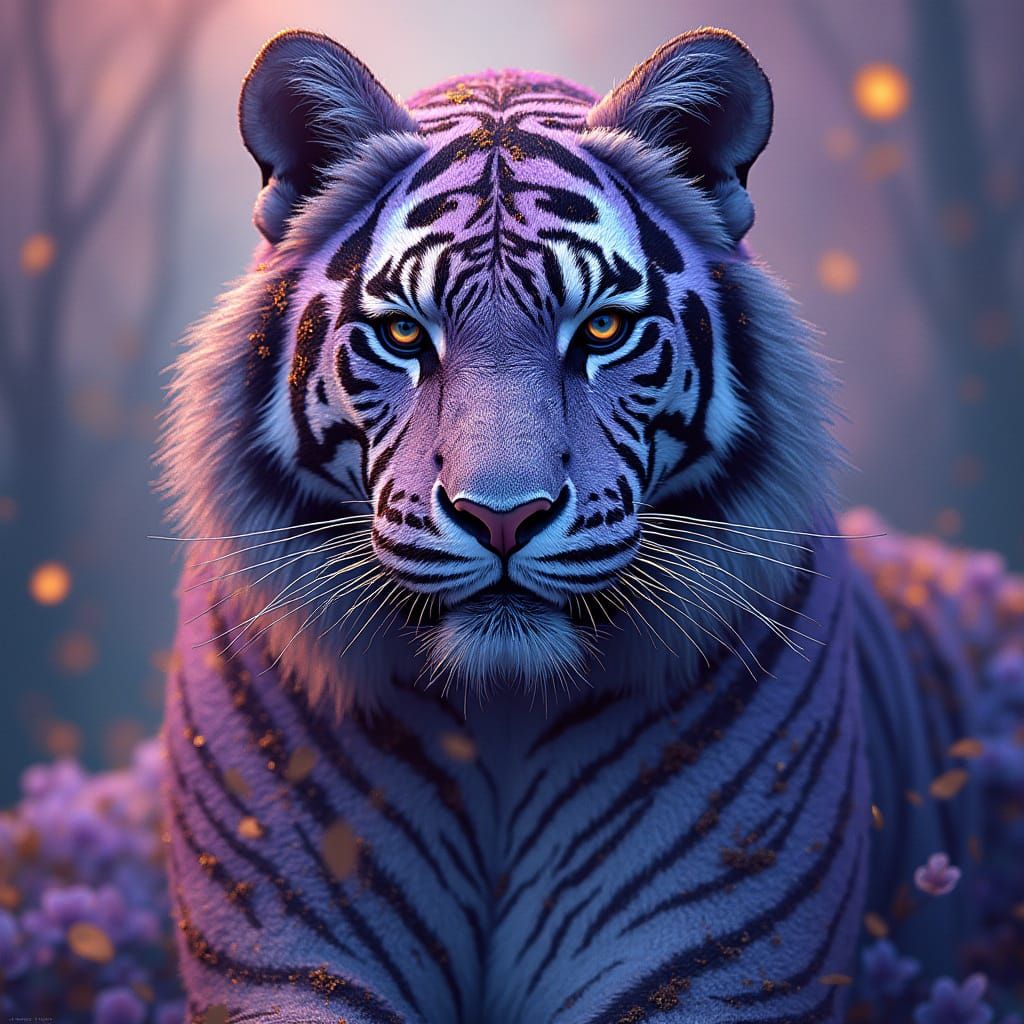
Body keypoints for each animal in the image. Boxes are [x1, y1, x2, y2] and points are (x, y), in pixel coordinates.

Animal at [159, 27, 999, 1024]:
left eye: (600, 331)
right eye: (404, 337)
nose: (503, 517)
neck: (498, 715)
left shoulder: (715, 964)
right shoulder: (285, 959)